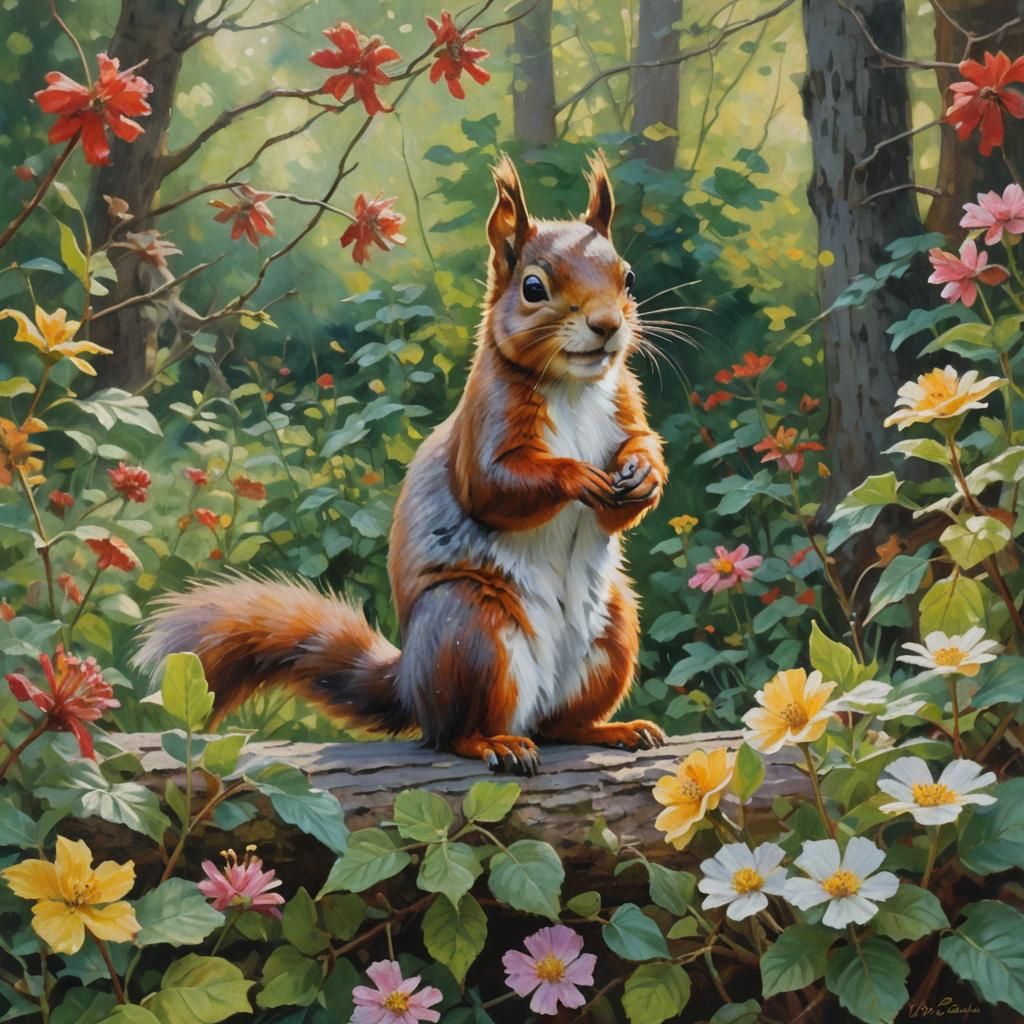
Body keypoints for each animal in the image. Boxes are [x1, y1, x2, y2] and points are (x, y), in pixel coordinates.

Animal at [135, 154, 669, 776]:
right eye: (533, 287)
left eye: (627, 279)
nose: (608, 325)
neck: (573, 386)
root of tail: (411, 685)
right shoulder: (484, 424)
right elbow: (493, 486)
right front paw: (577, 475)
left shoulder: (625, 407)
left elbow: (636, 457)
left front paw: (644, 474)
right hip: (469, 633)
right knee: (453, 732)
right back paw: (494, 743)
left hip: (613, 629)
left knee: (561, 725)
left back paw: (613, 729)